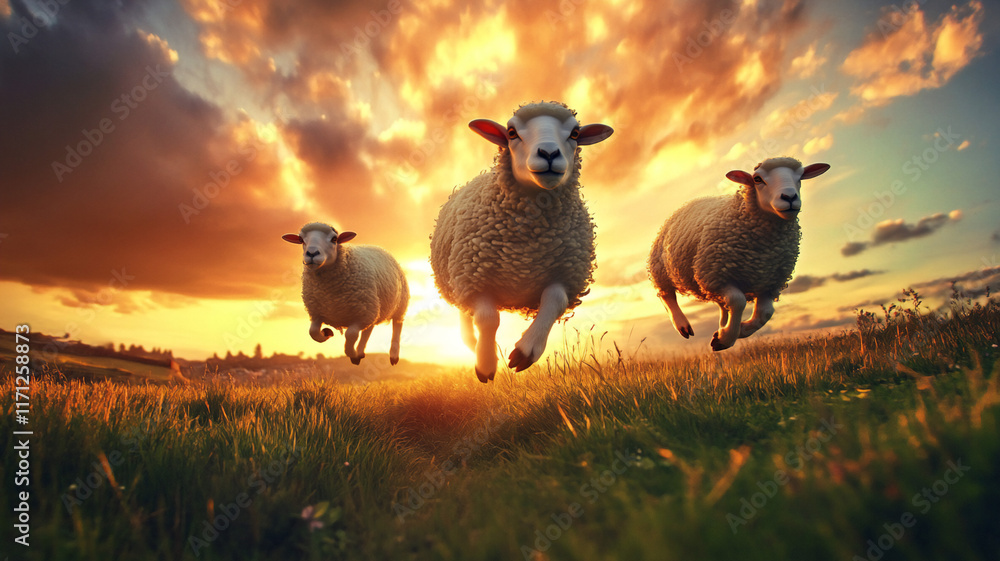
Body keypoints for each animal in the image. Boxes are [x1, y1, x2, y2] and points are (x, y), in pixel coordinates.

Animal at [282, 222, 409, 365]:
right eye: (301, 240)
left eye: (334, 239)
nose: (312, 253)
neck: (328, 293)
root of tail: (378, 247)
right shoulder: (317, 313)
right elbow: (313, 332)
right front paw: (327, 332)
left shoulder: (360, 317)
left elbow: (350, 335)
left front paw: (352, 356)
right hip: (373, 307)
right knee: (368, 329)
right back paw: (360, 351)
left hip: (398, 305)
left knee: (397, 326)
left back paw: (393, 356)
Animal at [430, 101, 614, 382]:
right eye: (511, 132)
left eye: (575, 133)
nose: (549, 153)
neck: (528, 244)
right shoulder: (475, 278)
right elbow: (487, 318)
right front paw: (486, 363)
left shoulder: (566, 274)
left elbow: (555, 301)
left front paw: (526, 351)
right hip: (458, 277)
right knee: (464, 312)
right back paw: (473, 343)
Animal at [647, 157, 830, 351]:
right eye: (757, 179)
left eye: (800, 177)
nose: (789, 197)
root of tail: (691, 201)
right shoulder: (716, 275)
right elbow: (738, 301)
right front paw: (724, 340)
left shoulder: (770, 283)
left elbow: (765, 313)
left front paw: (733, 332)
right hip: (661, 268)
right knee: (667, 295)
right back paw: (683, 325)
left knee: (722, 305)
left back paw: (722, 324)